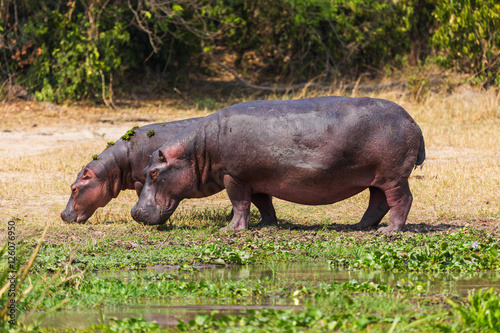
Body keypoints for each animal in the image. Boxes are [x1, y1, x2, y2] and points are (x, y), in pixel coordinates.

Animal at [132, 96, 426, 231]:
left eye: (154, 173)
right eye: (144, 171)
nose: (135, 212)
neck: (197, 151)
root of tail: (413, 120)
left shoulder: (233, 176)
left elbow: (239, 204)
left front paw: (230, 229)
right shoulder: (254, 178)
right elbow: (263, 203)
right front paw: (267, 225)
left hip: (393, 176)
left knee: (402, 200)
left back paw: (390, 230)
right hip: (377, 177)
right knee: (377, 202)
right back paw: (359, 227)